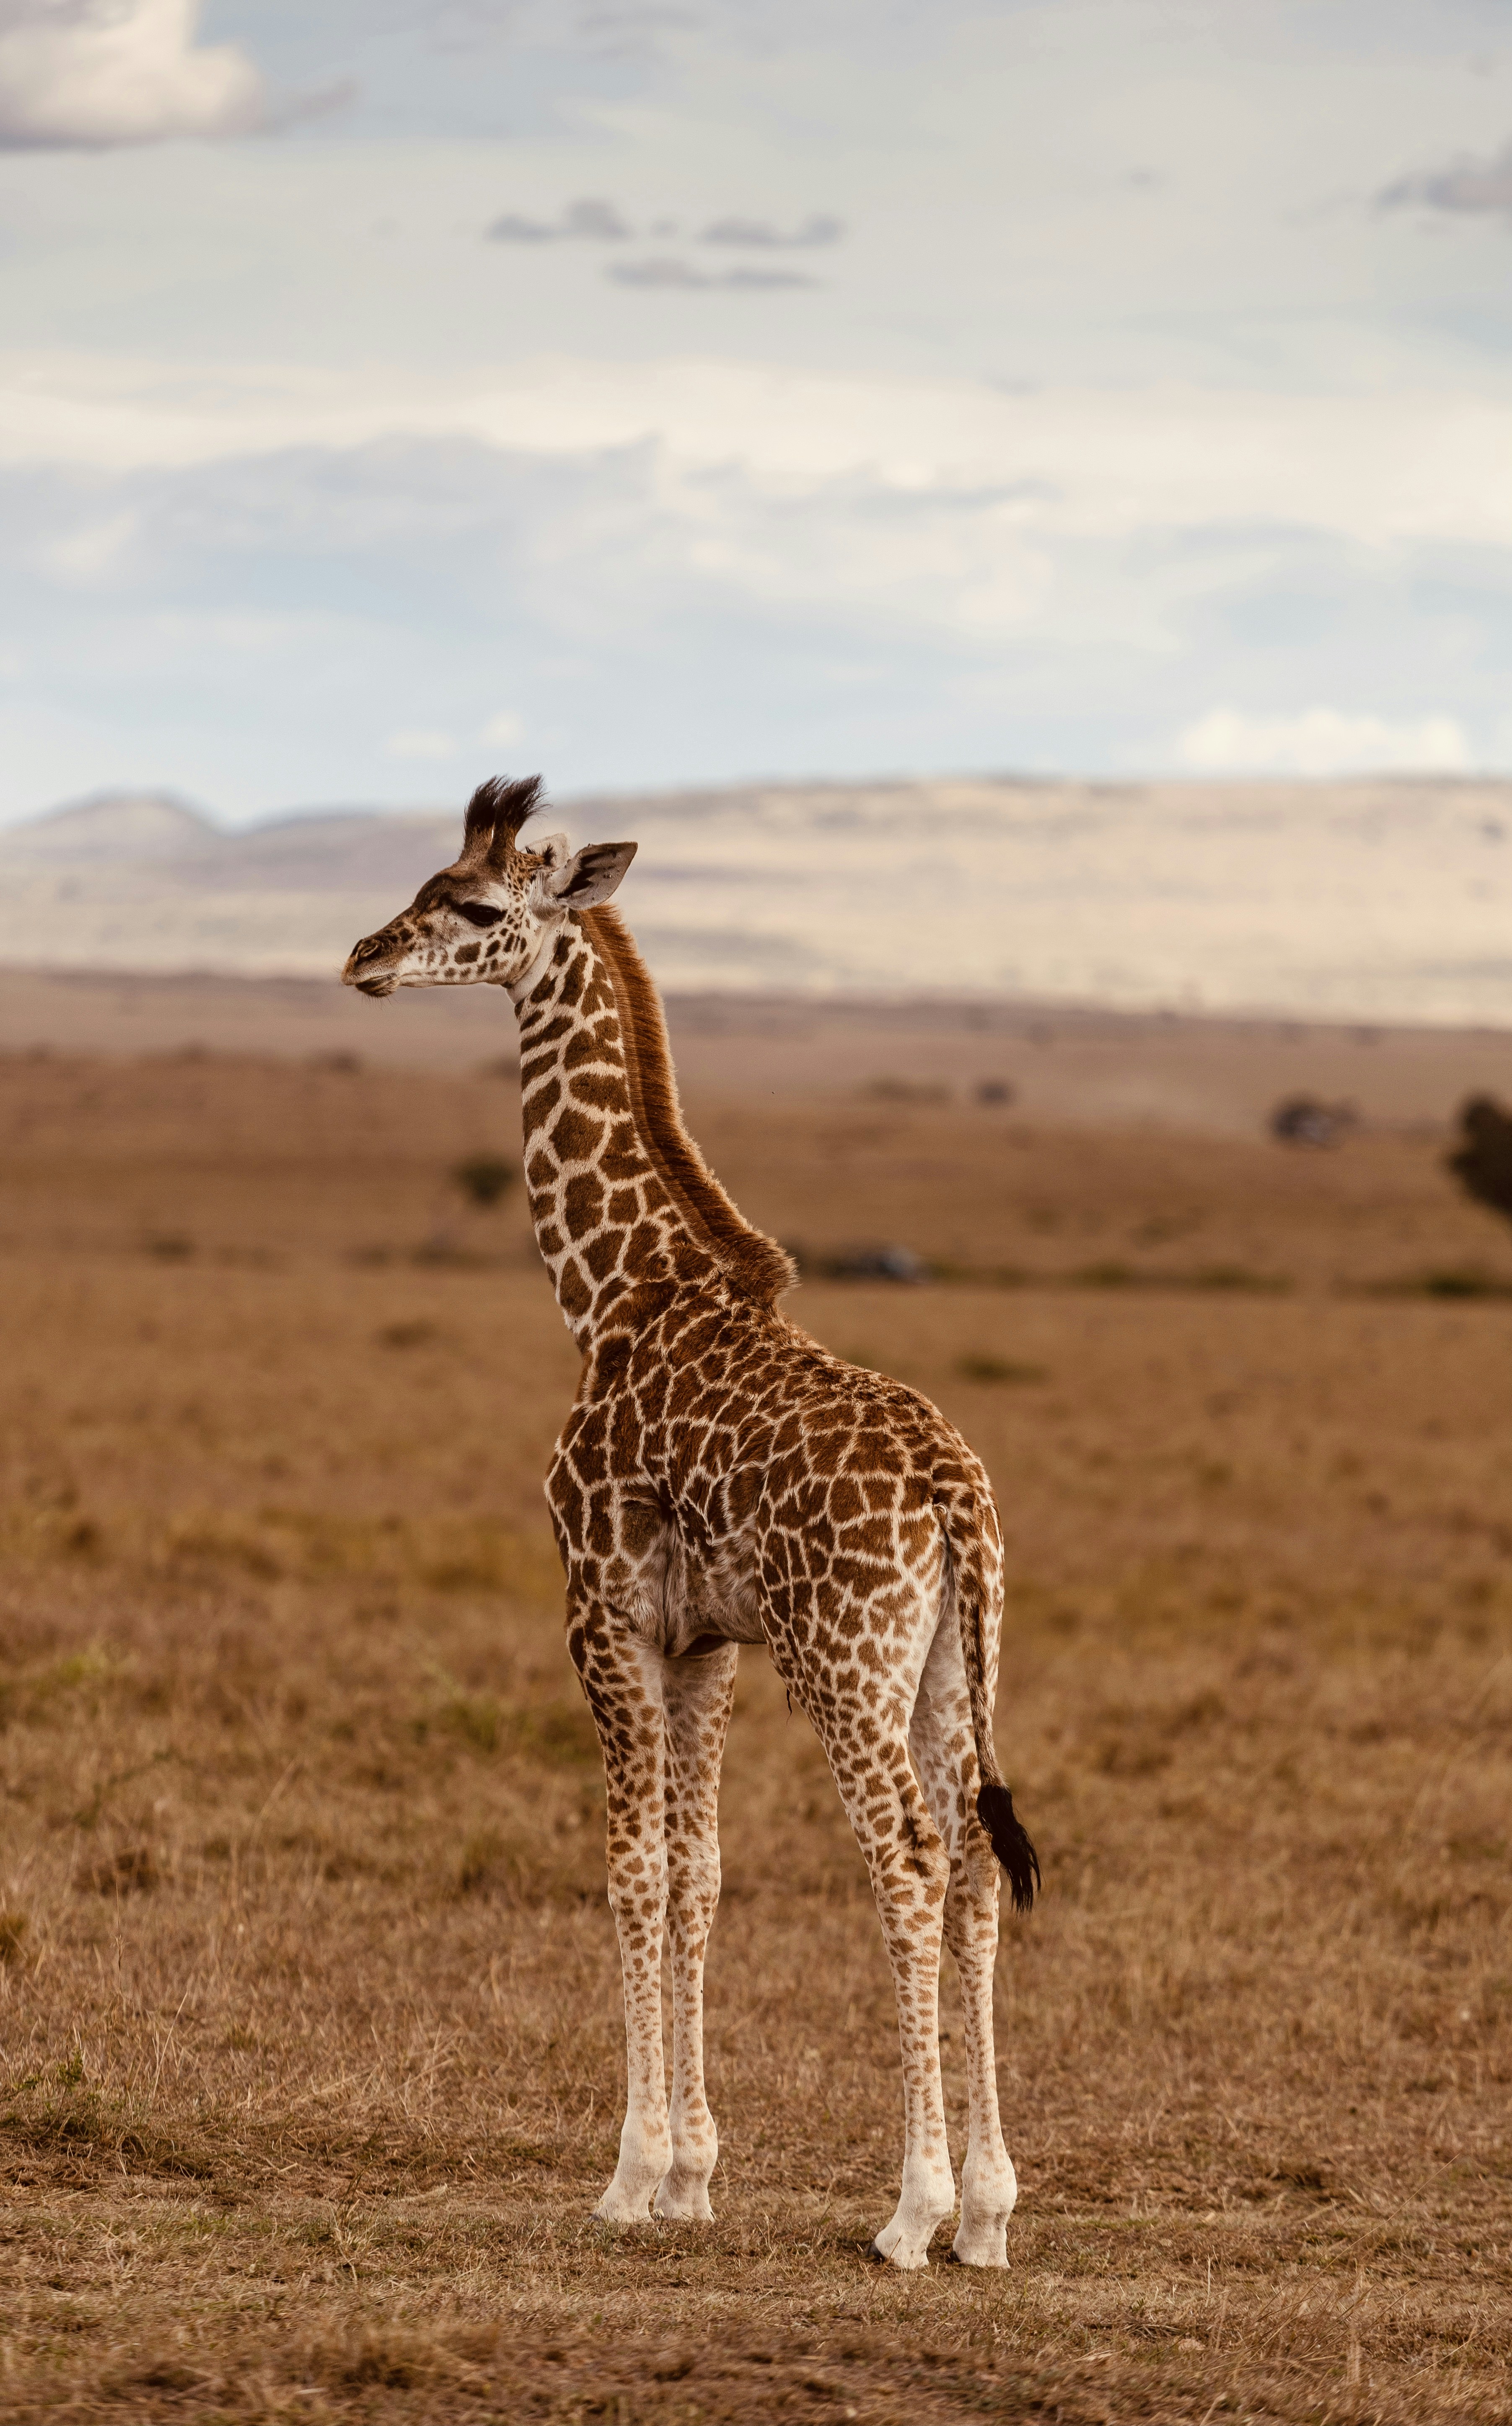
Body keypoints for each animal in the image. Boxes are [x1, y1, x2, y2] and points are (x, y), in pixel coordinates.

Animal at [342, 775, 1040, 2268]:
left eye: (469, 907)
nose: (362, 957)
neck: (614, 1293)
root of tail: (954, 1493)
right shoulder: (705, 1639)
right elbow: (700, 1869)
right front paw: (695, 2175)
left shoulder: (600, 1608)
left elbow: (630, 1867)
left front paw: (629, 2175)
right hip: (952, 1664)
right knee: (966, 1861)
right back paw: (989, 2211)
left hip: (844, 1661)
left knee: (906, 1854)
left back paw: (912, 2209)